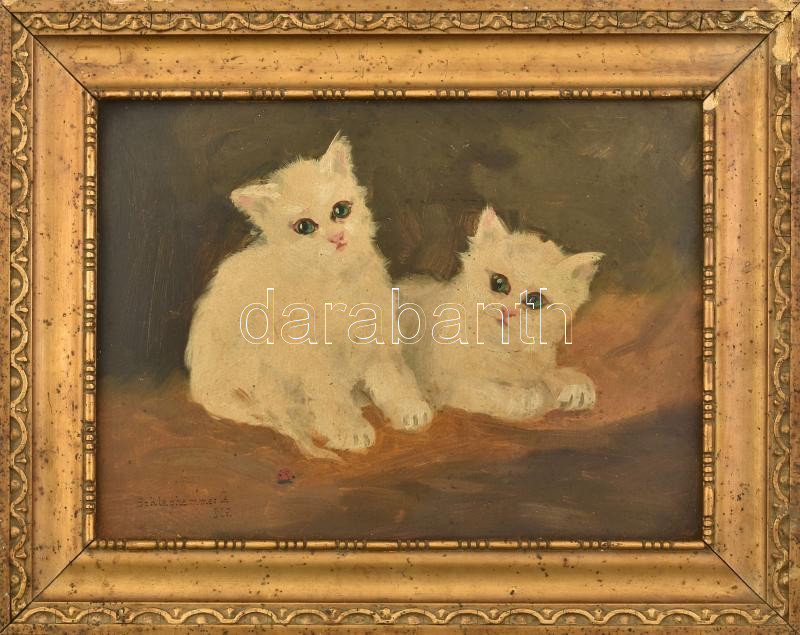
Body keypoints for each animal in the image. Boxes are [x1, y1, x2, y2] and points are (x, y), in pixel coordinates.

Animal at [185, 134, 432, 459]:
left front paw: (409, 409)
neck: (337, 284)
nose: (336, 238)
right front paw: (350, 430)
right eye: (305, 227)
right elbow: (330, 396)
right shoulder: (313, 359)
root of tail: (202, 386)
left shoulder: (376, 339)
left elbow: (392, 377)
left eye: (341, 210)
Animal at [398, 206, 602, 421]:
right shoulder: (455, 388)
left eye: (535, 301)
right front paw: (542, 396)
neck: (499, 350)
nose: (508, 311)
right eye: (498, 283)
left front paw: (573, 384)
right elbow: (515, 399)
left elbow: (546, 374)